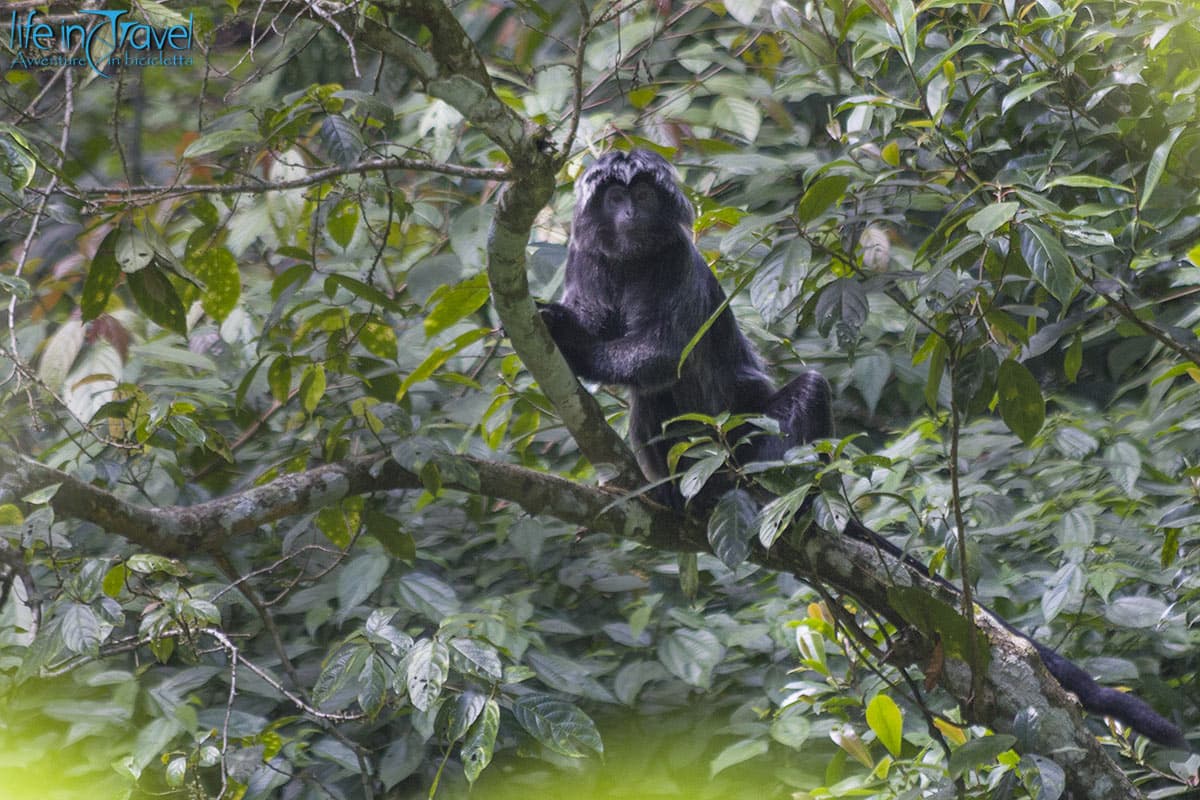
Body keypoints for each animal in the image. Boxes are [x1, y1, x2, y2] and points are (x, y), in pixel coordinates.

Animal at [538, 147, 1190, 751]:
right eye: (615, 199)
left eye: (643, 196)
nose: (628, 212)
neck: (634, 259)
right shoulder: (585, 258)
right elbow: (630, 345)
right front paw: (568, 327)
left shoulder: (676, 261)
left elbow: (664, 351)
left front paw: (570, 341)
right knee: (655, 406)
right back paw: (683, 496)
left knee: (803, 389)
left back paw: (775, 500)